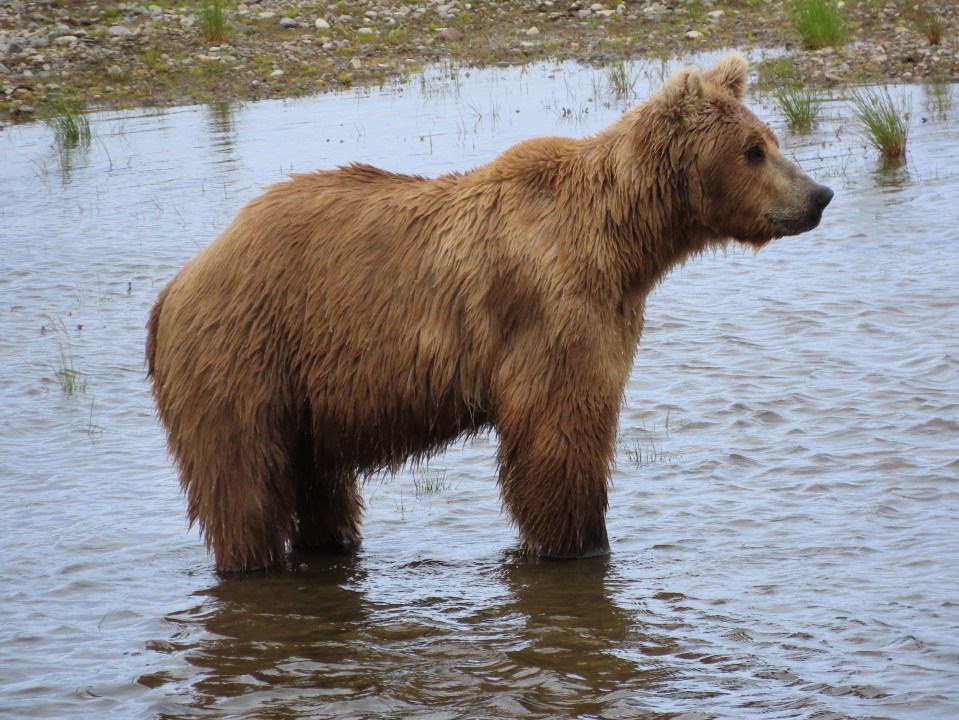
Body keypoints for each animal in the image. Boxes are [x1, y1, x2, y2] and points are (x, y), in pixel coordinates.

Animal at [146, 54, 832, 573]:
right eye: (753, 150)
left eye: (772, 139)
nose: (819, 194)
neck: (622, 242)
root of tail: (178, 283)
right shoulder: (549, 309)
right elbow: (557, 441)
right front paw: (577, 545)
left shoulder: (612, 313)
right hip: (247, 355)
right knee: (244, 488)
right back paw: (253, 560)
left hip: (311, 398)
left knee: (322, 489)